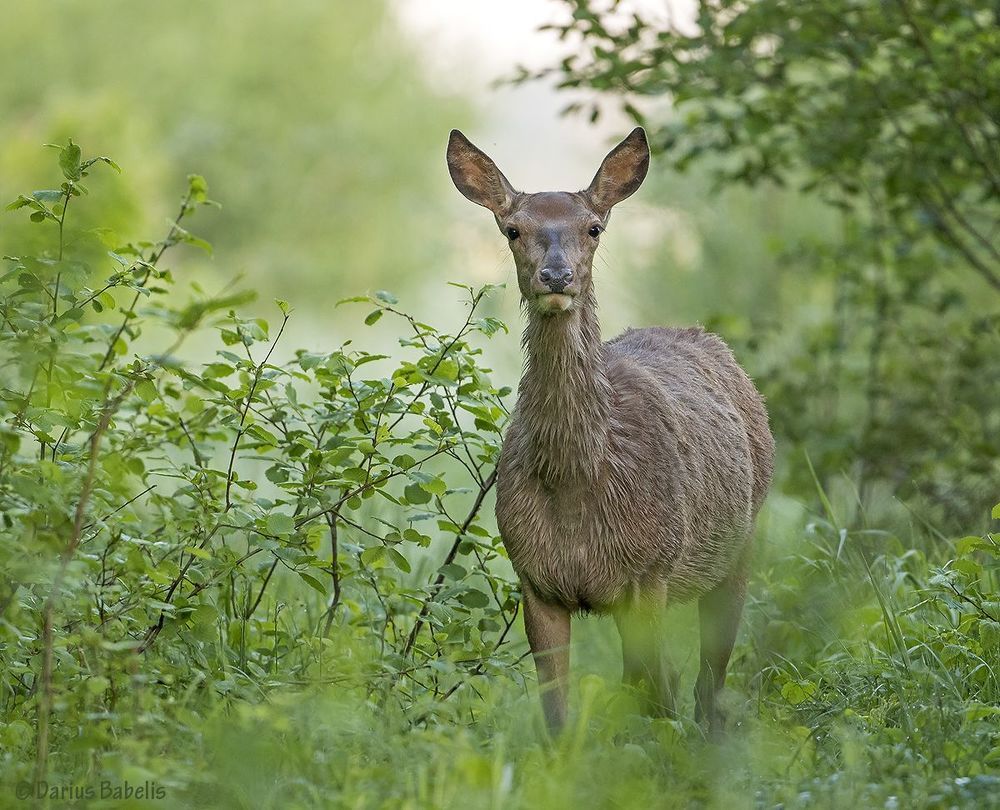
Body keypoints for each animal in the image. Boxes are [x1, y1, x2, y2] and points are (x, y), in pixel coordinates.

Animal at [446, 126, 774, 736]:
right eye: (512, 228)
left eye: (593, 227)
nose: (556, 275)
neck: (578, 483)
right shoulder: (535, 578)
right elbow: (557, 712)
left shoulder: (648, 572)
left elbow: (657, 695)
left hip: (738, 544)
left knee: (704, 681)